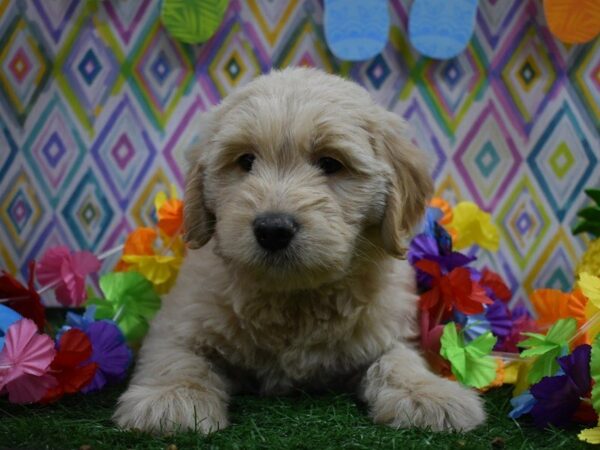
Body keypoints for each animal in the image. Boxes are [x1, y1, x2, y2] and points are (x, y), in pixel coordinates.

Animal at [115, 67, 486, 432]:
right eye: (245, 160)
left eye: (330, 163)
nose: (273, 229)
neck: (293, 300)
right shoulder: (179, 321)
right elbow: (178, 358)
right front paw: (171, 397)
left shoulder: (384, 330)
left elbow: (399, 361)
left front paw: (428, 393)